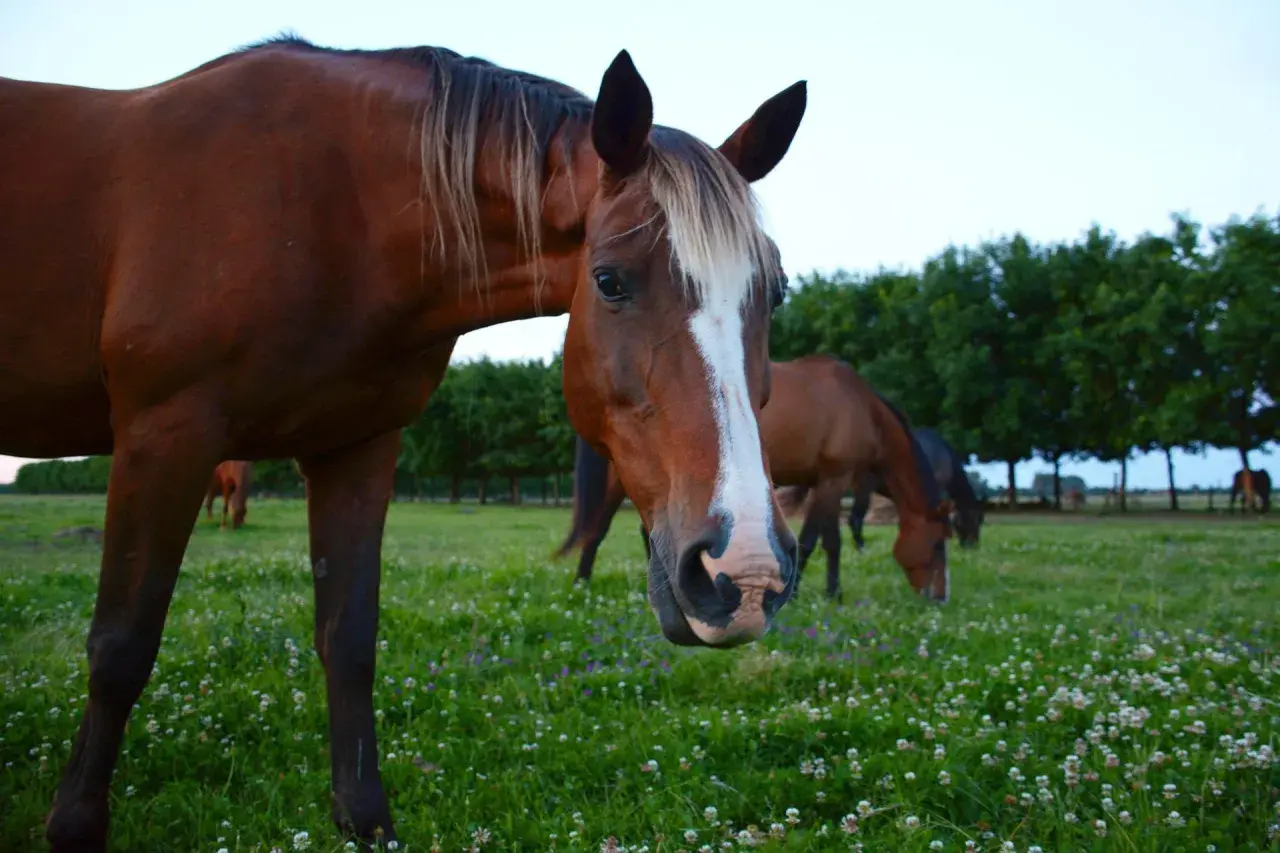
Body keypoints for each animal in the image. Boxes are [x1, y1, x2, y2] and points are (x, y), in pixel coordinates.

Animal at [0, 36, 808, 851]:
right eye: (610, 280)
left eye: (775, 291)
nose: (745, 574)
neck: (330, 209)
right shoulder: (164, 432)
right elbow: (121, 644)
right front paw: (73, 825)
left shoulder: (358, 445)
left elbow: (350, 639)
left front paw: (363, 819)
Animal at [560, 355, 954, 603]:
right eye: (938, 544)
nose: (939, 597)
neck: (861, 406)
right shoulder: (834, 480)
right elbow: (822, 541)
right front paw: (814, 594)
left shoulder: (823, 483)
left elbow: (821, 540)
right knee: (597, 530)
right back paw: (582, 585)